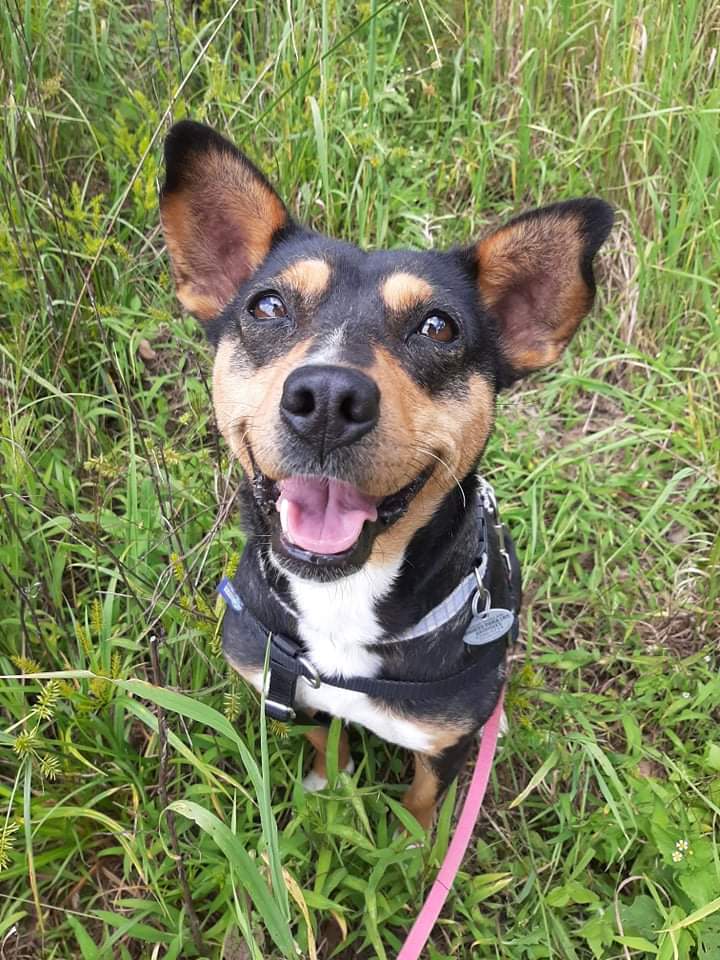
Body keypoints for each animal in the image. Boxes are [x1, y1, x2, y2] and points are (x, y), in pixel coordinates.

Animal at [160, 120, 612, 828]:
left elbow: (427, 797)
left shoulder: (443, 738)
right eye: (267, 307)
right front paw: (329, 785)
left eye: (438, 327)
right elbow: (325, 734)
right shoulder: (284, 685)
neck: (342, 600)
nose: (326, 399)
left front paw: (414, 842)